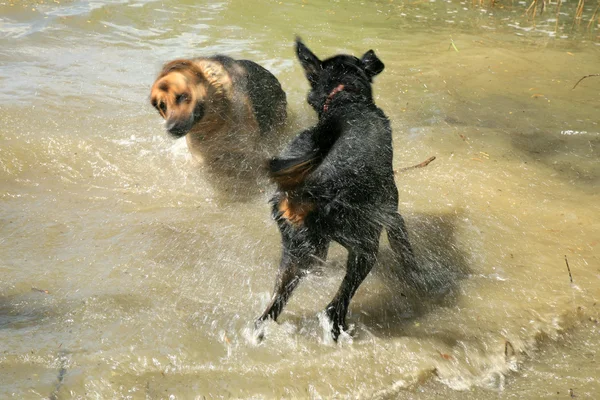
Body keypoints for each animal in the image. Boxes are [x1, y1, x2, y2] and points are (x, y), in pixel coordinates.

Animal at [256, 38, 418, 340]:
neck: (345, 101)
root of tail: (309, 186)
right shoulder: (391, 213)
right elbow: (406, 251)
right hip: (364, 244)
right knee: (334, 308)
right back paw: (339, 331)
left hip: (297, 252)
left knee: (268, 312)